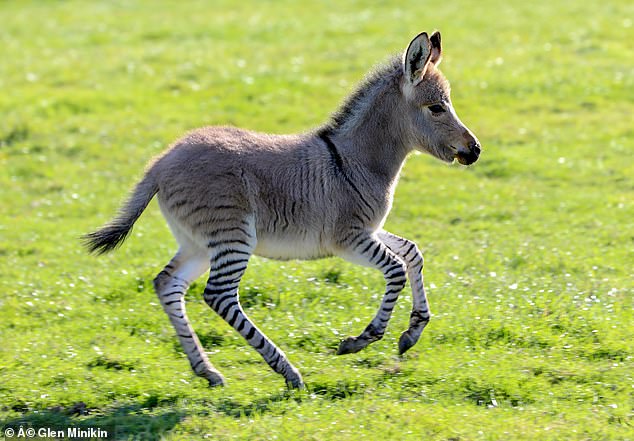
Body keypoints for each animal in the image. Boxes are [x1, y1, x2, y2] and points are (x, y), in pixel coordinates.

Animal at [84, 31, 478, 388]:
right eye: (437, 108)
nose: (475, 151)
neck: (354, 160)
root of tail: (160, 162)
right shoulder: (348, 239)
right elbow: (396, 269)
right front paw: (361, 340)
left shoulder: (369, 231)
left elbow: (412, 252)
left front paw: (413, 330)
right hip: (233, 237)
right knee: (219, 296)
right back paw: (287, 371)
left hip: (197, 243)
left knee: (168, 284)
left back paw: (207, 371)